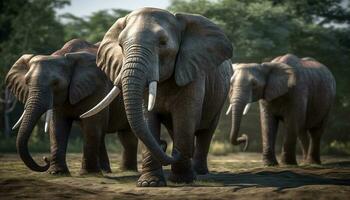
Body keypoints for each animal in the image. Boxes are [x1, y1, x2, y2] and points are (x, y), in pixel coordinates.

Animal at [5, 38, 138, 175]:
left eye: (56, 83)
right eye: (27, 82)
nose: (45, 159)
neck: (62, 55)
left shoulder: (97, 86)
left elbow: (91, 125)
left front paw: (87, 173)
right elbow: (57, 126)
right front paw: (57, 173)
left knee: (126, 137)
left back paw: (127, 171)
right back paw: (108, 171)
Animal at [80, 7, 234, 186]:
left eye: (162, 43)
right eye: (120, 45)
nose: (163, 144)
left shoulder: (191, 70)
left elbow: (185, 116)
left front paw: (182, 181)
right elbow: (148, 118)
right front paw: (149, 183)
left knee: (206, 131)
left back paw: (199, 173)